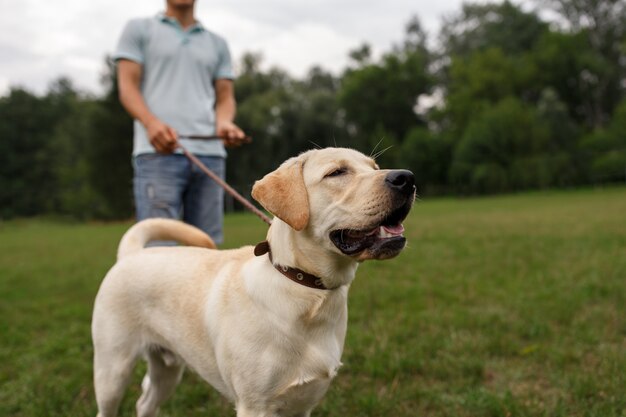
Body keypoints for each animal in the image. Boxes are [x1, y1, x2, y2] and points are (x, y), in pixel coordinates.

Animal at [91, 147, 414, 416]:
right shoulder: (255, 406)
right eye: (336, 173)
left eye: (374, 167)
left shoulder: (303, 405)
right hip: (112, 370)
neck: (306, 289)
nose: (406, 178)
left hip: (166, 371)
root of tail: (131, 253)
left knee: (144, 403)